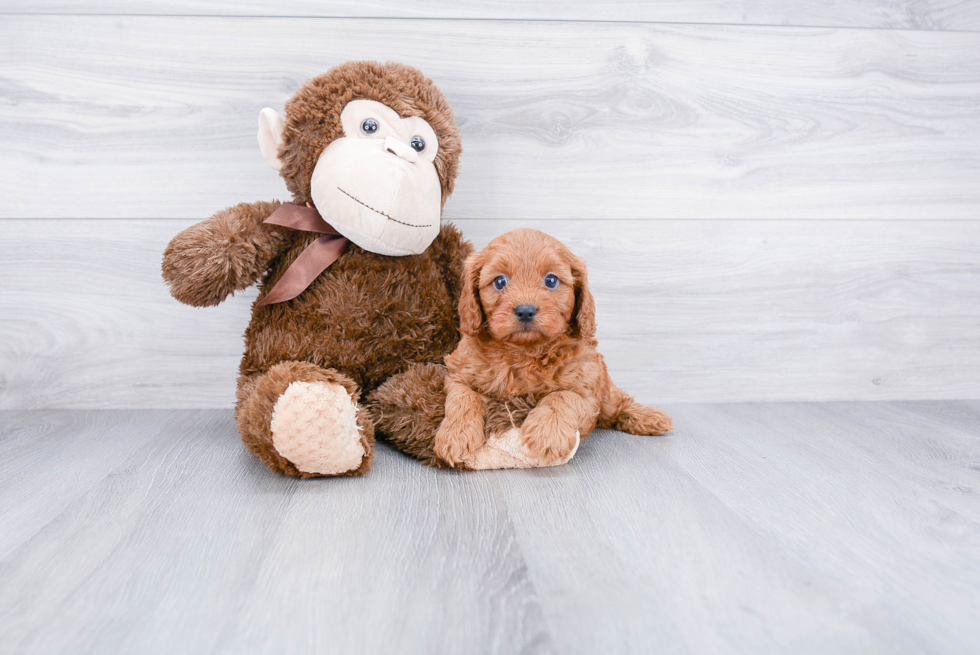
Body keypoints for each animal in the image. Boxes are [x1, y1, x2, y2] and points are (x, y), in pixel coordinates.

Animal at [368, 228, 672, 468]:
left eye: (551, 280)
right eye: (500, 281)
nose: (525, 310)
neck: (523, 351)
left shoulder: (585, 388)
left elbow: (561, 397)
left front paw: (546, 434)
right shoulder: (459, 374)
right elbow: (463, 398)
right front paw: (456, 436)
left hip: (604, 391)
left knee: (618, 404)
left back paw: (650, 418)